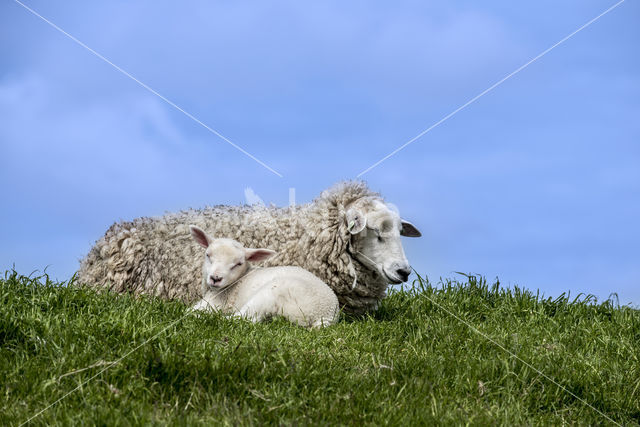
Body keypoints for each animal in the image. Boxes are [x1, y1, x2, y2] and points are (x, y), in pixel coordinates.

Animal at [189, 226, 340, 330]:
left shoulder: (217, 301)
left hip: (273, 293)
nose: (215, 278)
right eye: (208, 255)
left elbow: (191, 310)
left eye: (238, 263)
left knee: (244, 318)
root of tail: (324, 316)